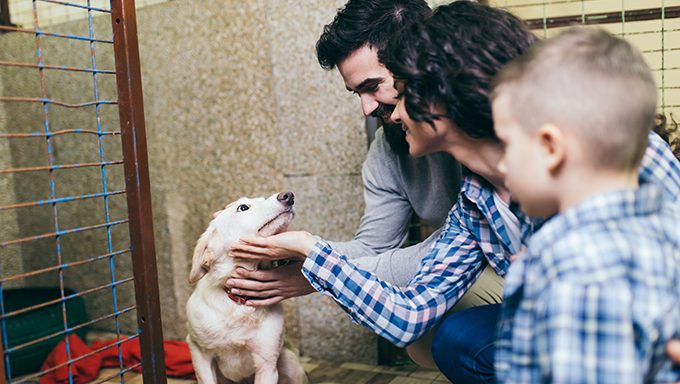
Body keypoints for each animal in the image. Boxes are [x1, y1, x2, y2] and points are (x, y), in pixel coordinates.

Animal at [183, 192, 306, 384]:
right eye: (243, 207)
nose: (288, 195)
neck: (239, 305)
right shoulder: (198, 351)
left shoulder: (267, 364)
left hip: (292, 364)